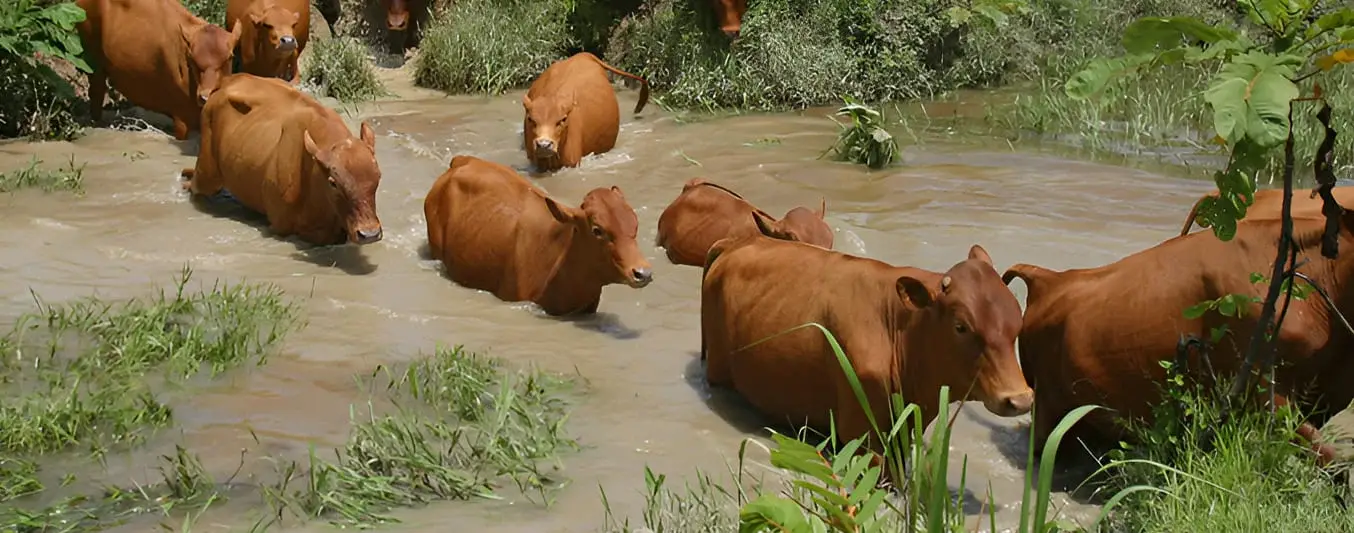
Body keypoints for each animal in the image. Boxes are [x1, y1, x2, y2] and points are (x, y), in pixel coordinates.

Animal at [77, 0, 246, 141]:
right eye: (192, 58)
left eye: (230, 57)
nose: (205, 96)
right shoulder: (181, 117)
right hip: (93, 63)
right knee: (97, 93)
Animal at [180, 74, 381, 246]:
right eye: (333, 183)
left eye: (378, 178)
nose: (369, 234)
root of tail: (228, 81)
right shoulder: (279, 226)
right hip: (207, 174)